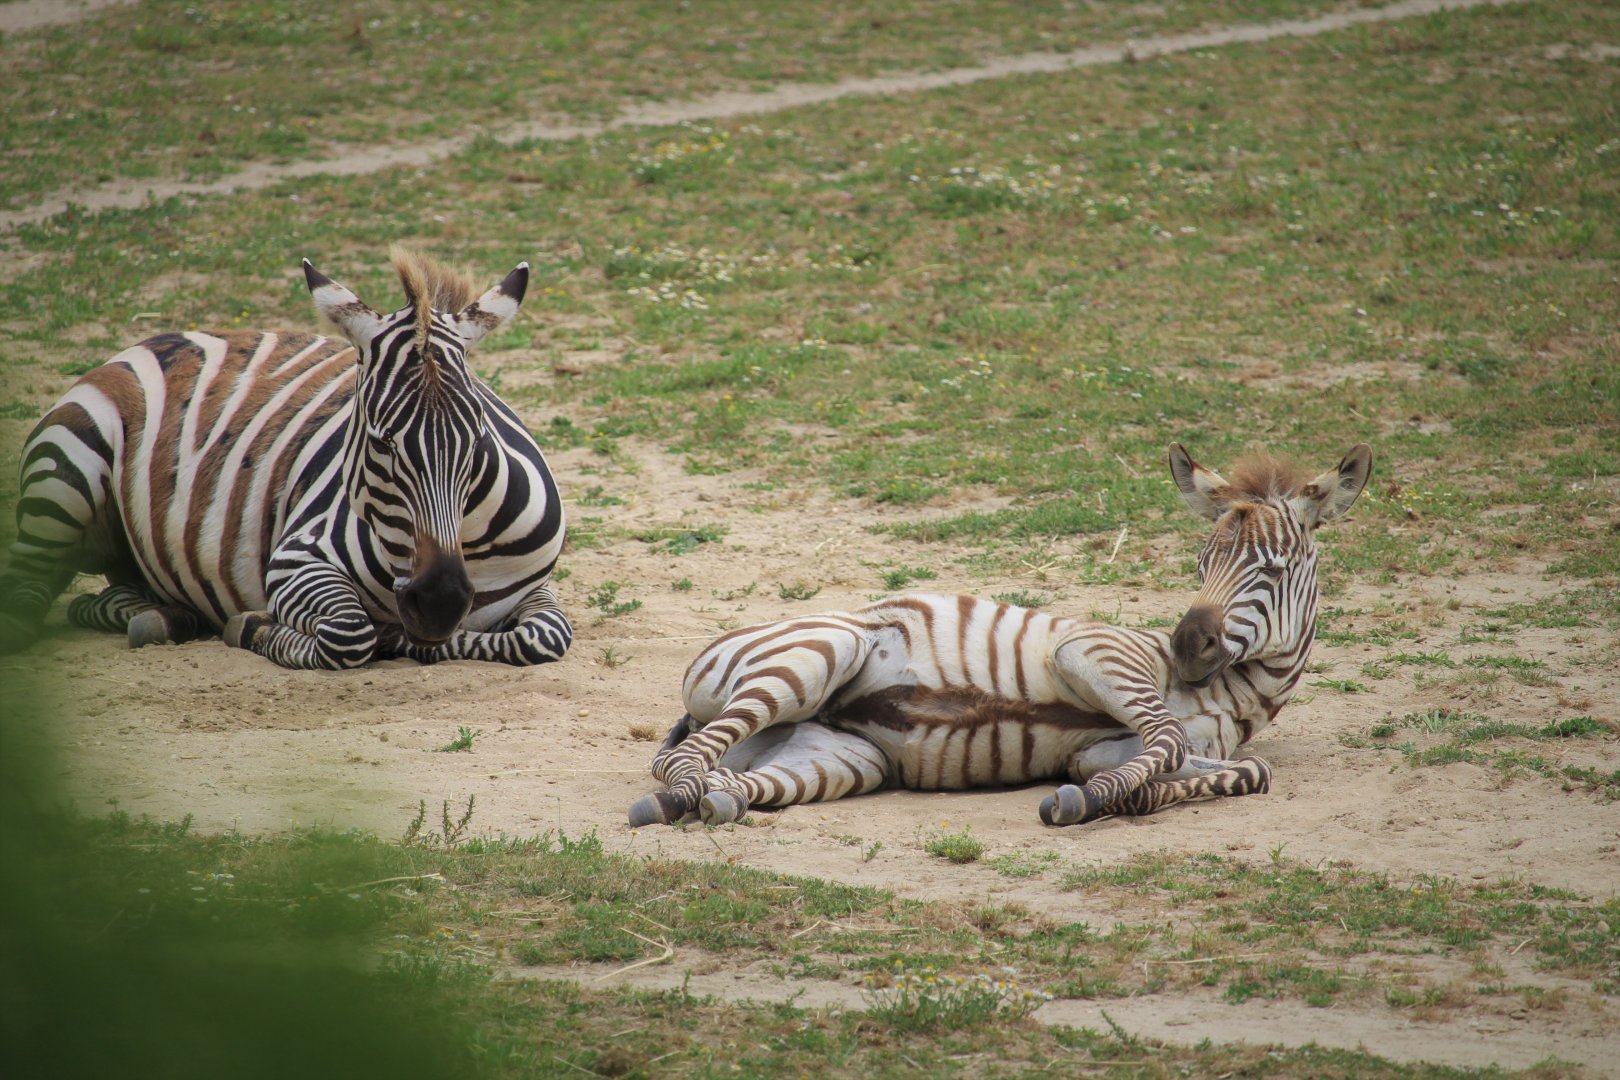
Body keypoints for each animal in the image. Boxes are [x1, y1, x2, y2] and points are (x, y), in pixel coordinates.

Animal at [0, 248, 573, 670]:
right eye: (380, 442)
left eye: (477, 441)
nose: (441, 602)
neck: (470, 543)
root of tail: (163, 335)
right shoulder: (296, 560)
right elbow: (348, 635)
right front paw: (255, 627)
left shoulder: (536, 591)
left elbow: (544, 636)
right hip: (65, 468)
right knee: (28, 593)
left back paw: (167, 617)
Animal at [629, 442, 1371, 827]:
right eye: (1200, 563)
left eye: (1272, 569)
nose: (1188, 649)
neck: (1233, 693)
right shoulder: (1096, 650)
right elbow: (1166, 738)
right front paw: (1098, 800)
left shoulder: (1107, 747)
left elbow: (1245, 771)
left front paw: (1121, 795)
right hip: (816, 653)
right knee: (680, 762)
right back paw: (679, 797)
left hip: (837, 756)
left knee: (724, 775)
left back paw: (716, 799)